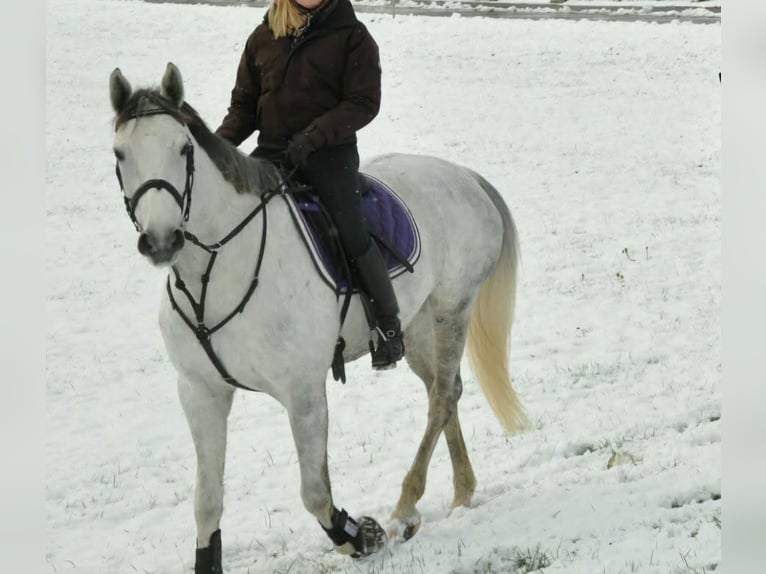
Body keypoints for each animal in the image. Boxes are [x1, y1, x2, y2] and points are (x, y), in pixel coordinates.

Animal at [108, 62, 527, 573]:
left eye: (183, 149)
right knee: (444, 391)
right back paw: (462, 492)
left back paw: (404, 509)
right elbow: (206, 503)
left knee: (443, 398)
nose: (161, 240)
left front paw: (360, 536)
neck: (216, 270)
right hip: (416, 324)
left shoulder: (303, 392)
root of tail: (465, 176)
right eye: (120, 153)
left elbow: (314, 493)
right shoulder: (200, 393)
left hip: (453, 310)